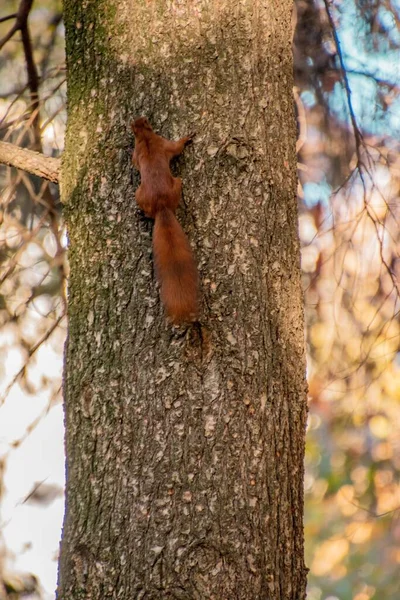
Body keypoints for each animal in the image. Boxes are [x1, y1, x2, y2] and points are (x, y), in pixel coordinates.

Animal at [132, 116, 199, 324]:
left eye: (142, 121)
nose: (140, 117)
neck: (145, 137)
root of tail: (162, 206)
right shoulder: (163, 143)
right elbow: (176, 147)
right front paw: (187, 138)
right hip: (174, 184)